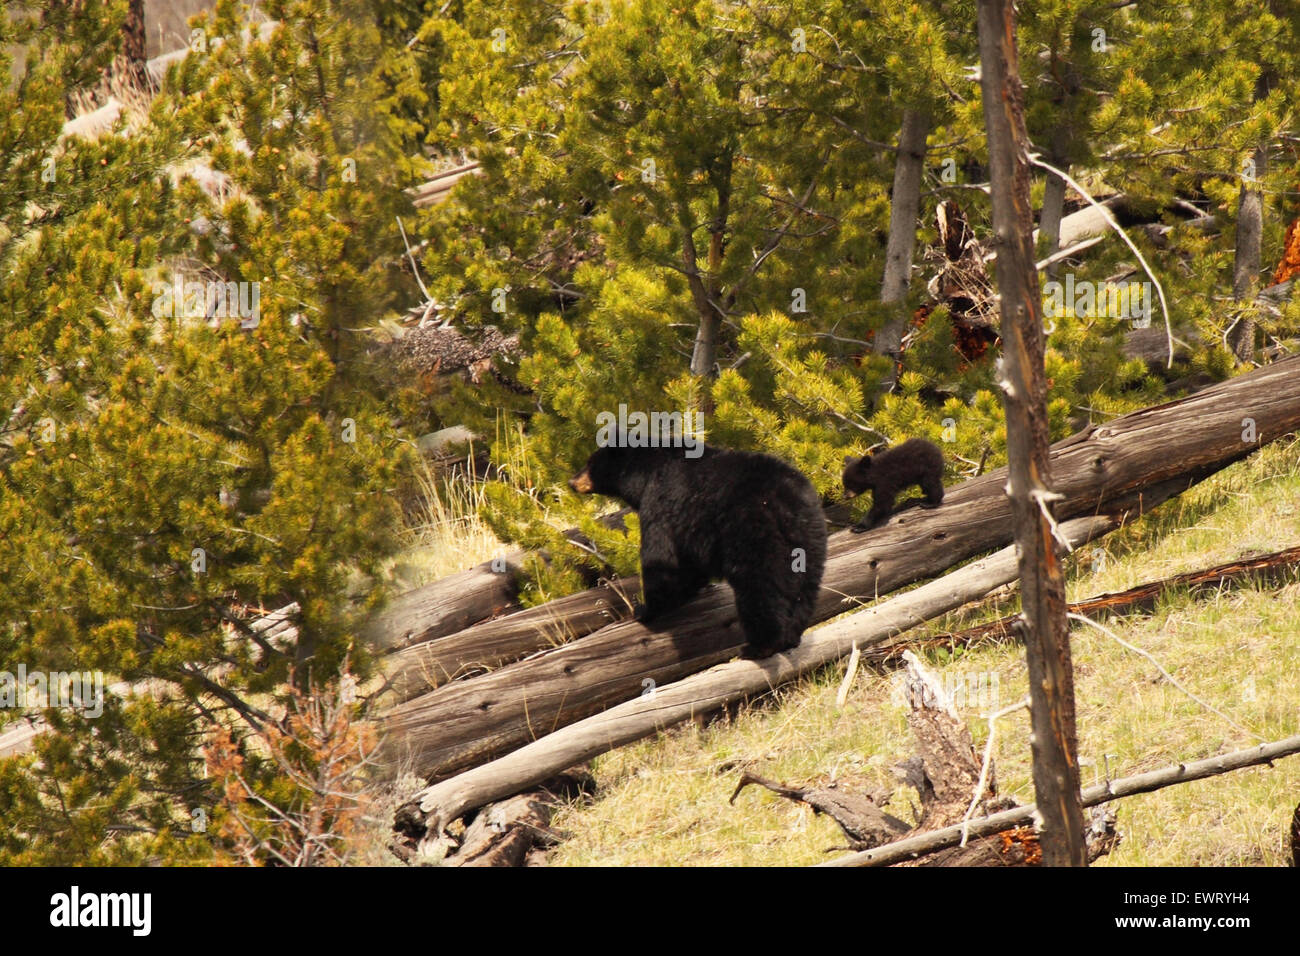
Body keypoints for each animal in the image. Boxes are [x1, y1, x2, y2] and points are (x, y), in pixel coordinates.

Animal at [572, 442, 832, 658]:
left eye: (589, 463)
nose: (571, 482)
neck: (644, 475)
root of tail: (787, 500)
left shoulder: (659, 504)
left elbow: (662, 560)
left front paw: (644, 610)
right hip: (810, 535)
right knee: (805, 586)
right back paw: (791, 635)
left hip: (752, 532)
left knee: (759, 586)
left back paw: (760, 646)